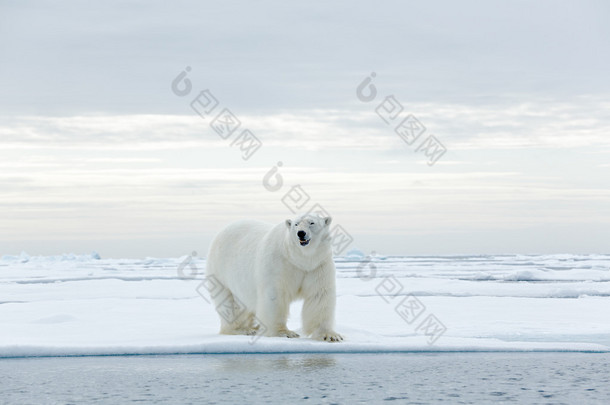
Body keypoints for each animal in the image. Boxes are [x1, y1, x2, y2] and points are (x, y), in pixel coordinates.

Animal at [204, 215, 342, 340]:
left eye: (312, 222)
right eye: (296, 224)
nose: (301, 233)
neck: (299, 259)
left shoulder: (317, 266)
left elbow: (319, 295)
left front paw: (330, 335)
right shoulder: (279, 263)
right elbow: (275, 296)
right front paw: (284, 333)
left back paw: (253, 327)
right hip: (220, 272)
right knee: (230, 304)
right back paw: (241, 329)